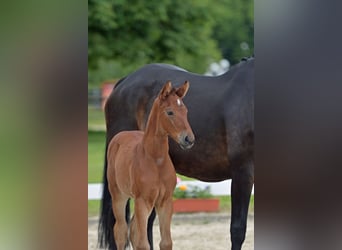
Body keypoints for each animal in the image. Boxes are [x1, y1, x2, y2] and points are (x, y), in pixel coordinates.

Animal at [107, 81, 194, 249]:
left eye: (186, 111)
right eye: (170, 112)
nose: (189, 139)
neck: (156, 160)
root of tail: (120, 136)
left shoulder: (165, 201)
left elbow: (166, 242)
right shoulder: (142, 201)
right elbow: (143, 243)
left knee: (133, 229)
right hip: (119, 195)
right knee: (121, 230)